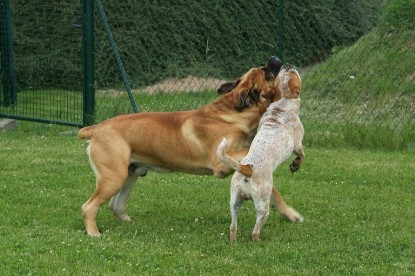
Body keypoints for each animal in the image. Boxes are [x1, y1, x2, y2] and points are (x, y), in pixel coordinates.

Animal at [78, 57, 284, 236]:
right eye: (267, 74)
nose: (274, 59)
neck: (234, 110)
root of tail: (96, 128)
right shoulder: (220, 162)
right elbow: (245, 152)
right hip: (113, 177)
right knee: (89, 206)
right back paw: (94, 233)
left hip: (129, 174)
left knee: (116, 205)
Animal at [218, 64, 306, 242]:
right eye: (292, 73)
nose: (288, 65)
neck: (282, 106)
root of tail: (247, 169)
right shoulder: (298, 143)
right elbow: (301, 154)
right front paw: (295, 165)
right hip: (263, 205)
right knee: (255, 230)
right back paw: (258, 241)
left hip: (234, 201)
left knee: (233, 226)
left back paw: (233, 241)